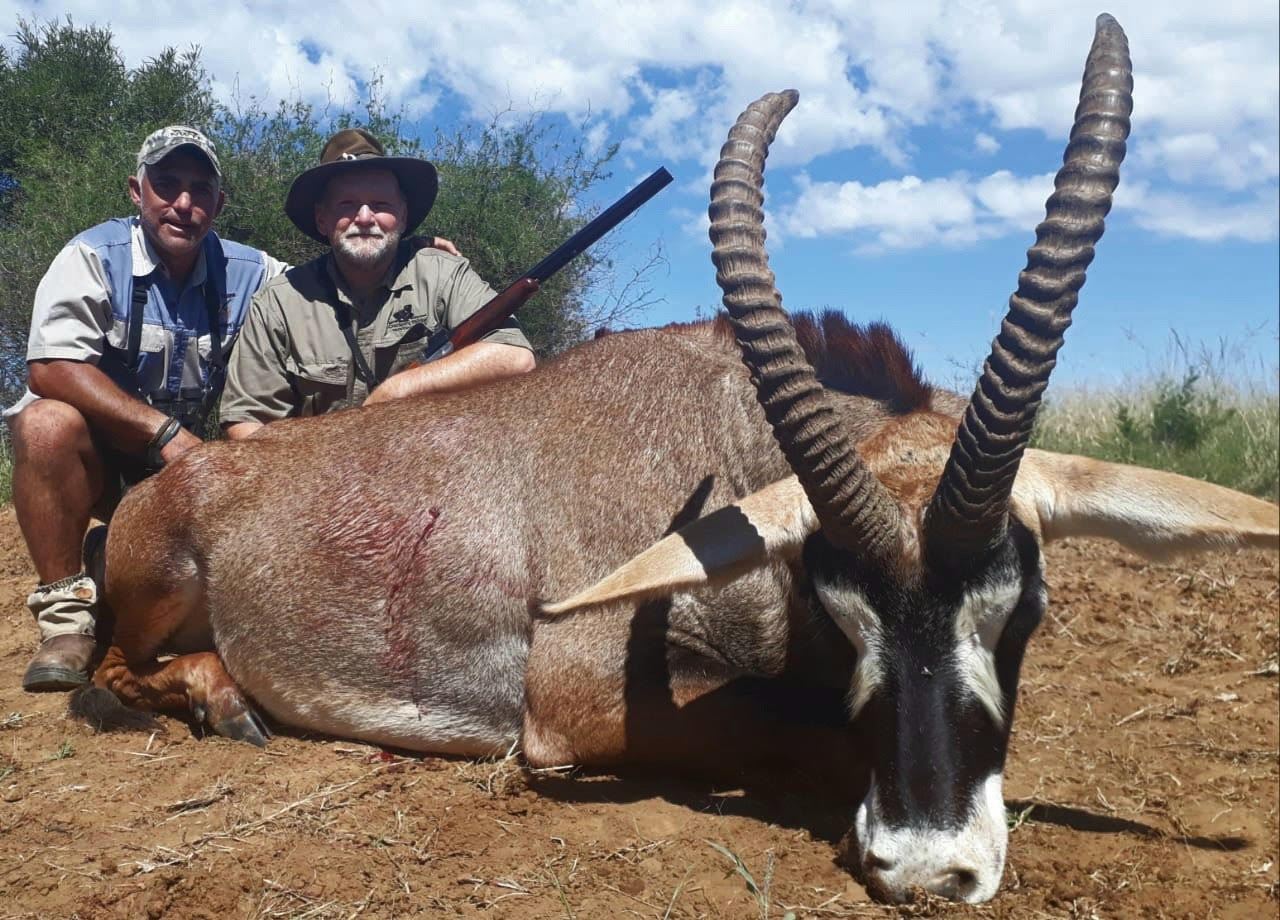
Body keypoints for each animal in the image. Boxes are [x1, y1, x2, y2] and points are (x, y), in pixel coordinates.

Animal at [82, 14, 1277, 903]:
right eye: (840, 608)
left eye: (1021, 603)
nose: (932, 868)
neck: (723, 439)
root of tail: (179, 478)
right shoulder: (571, 702)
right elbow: (807, 731)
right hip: (149, 597)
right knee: (109, 671)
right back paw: (223, 699)